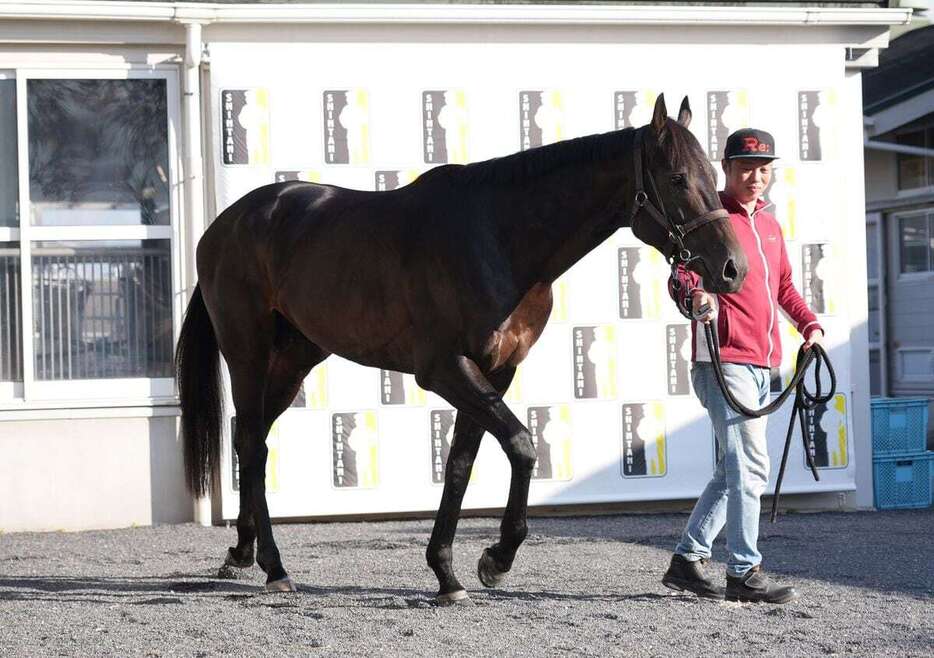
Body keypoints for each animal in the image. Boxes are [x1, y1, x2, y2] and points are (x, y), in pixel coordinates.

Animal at [174, 95, 744, 604]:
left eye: (712, 174)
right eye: (677, 178)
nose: (732, 268)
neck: (499, 238)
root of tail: (224, 224)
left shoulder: (496, 371)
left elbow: (461, 465)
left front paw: (447, 573)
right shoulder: (445, 369)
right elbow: (521, 446)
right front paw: (496, 559)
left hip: (295, 359)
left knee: (252, 441)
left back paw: (242, 553)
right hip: (248, 353)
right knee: (251, 442)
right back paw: (274, 567)